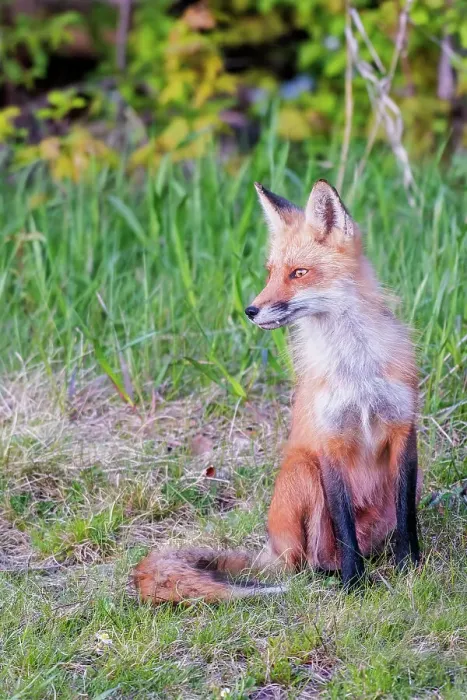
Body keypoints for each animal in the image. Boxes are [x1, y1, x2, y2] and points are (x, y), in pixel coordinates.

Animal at [133, 178, 422, 603]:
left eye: (298, 272)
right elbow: (344, 528)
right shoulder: (330, 442)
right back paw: (330, 576)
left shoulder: (404, 429)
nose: (251, 310)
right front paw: (354, 584)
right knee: (308, 559)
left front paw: (410, 568)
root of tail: (272, 546)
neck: (356, 371)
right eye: (270, 273)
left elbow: (407, 515)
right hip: (304, 471)